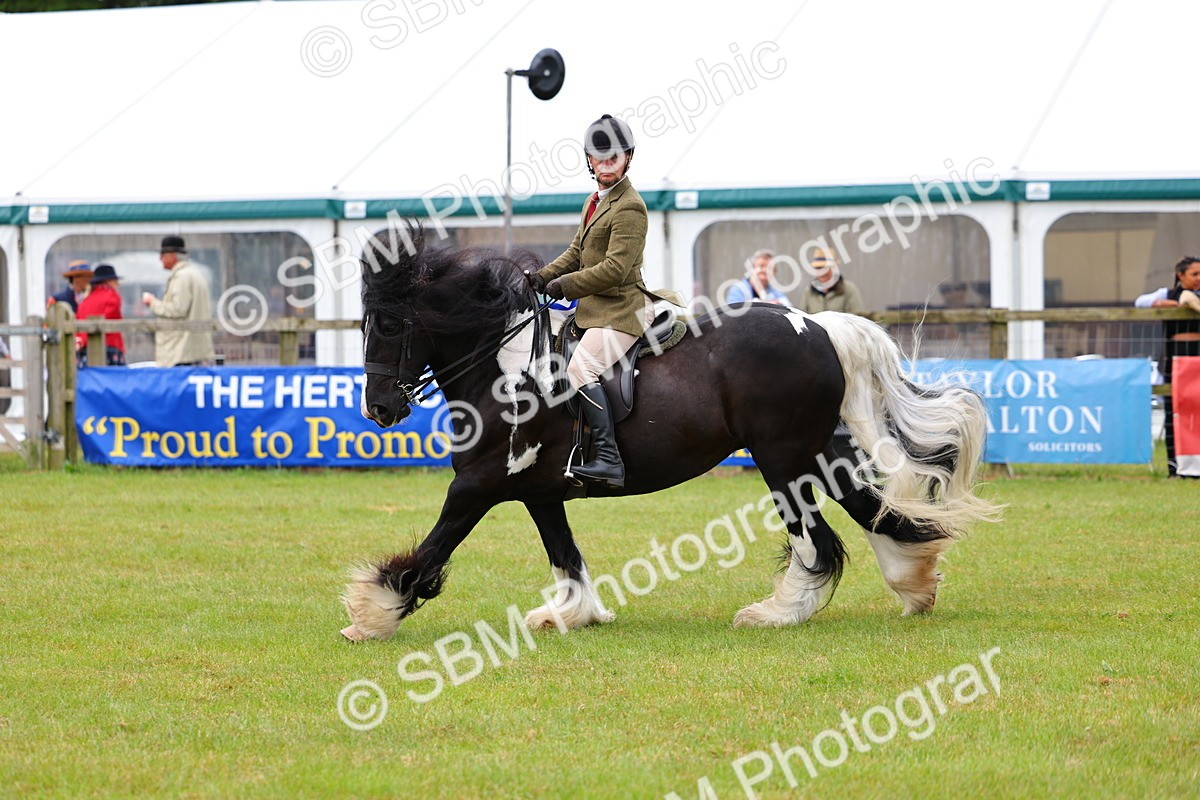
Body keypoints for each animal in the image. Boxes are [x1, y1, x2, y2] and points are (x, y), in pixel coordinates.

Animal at [341, 224, 1000, 641]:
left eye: (392, 324)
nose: (379, 409)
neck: (504, 368)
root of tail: (814, 324)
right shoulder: (538, 490)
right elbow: (565, 556)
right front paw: (572, 616)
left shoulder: (478, 483)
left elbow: (432, 549)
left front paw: (371, 616)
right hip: (816, 452)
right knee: (874, 512)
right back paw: (914, 586)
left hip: (782, 458)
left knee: (816, 540)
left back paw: (778, 613)